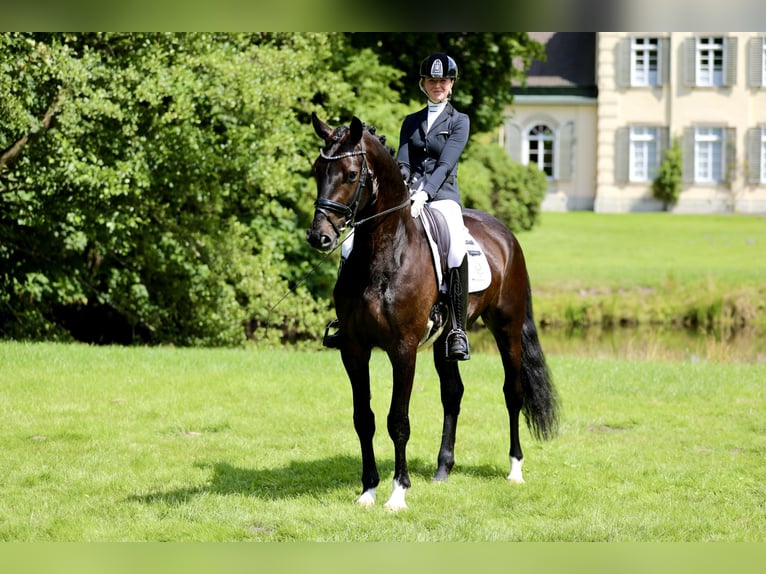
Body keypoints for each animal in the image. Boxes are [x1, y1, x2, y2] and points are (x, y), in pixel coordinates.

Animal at [308, 113, 560, 512]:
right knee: (453, 393)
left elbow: (398, 420)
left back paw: (515, 469)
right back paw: (443, 468)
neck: (382, 253)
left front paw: (398, 492)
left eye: (350, 174)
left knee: (512, 392)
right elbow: (364, 418)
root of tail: (504, 233)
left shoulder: (403, 349)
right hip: (447, 341)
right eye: (317, 170)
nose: (319, 237)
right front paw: (368, 490)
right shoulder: (354, 349)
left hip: (507, 329)